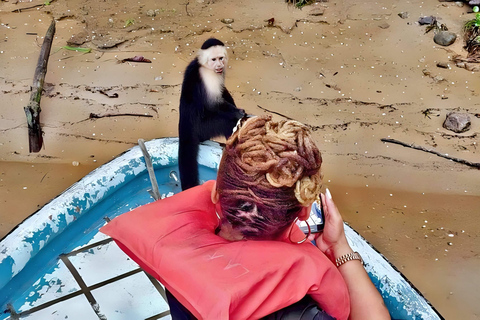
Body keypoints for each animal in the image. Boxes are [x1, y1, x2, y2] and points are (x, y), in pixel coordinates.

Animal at [177, 38, 244, 191]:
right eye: (213, 59)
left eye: (221, 58)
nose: (219, 65)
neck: (204, 66)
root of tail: (185, 125)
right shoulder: (209, 76)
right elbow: (214, 104)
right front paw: (238, 112)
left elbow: (223, 91)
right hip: (204, 128)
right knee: (227, 123)